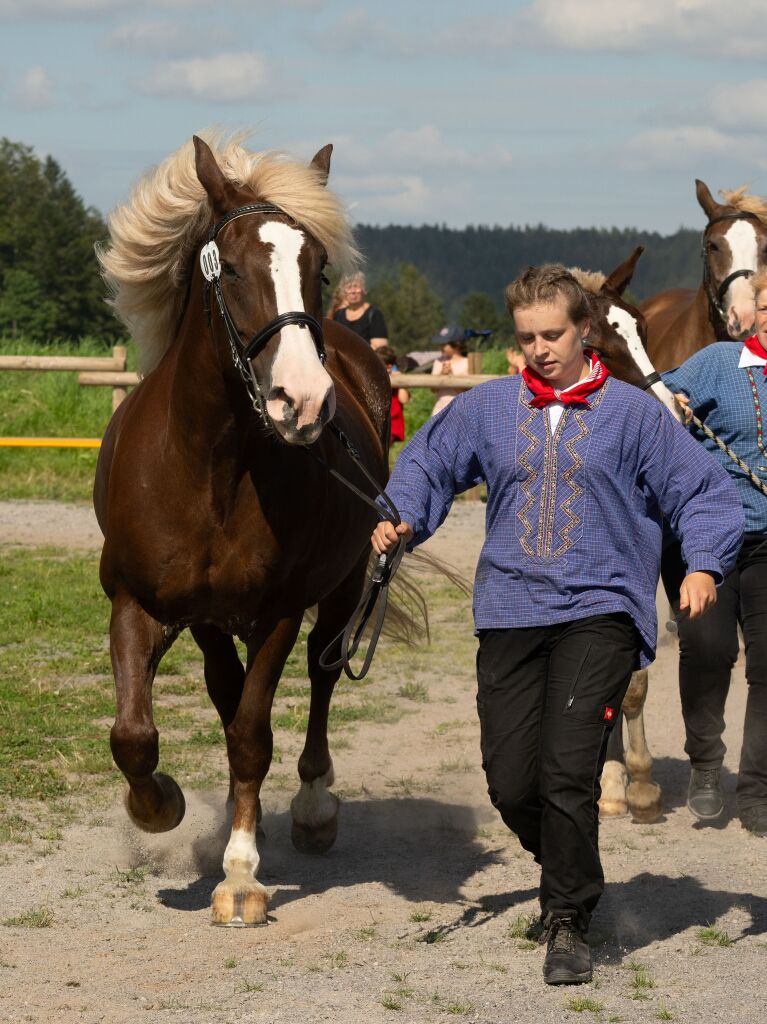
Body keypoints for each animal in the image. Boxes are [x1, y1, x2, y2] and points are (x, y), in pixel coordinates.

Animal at [95, 132, 407, 925]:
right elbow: (135, 735)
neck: (210, 466)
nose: (304, 401)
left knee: (318, 685)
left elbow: (249, 735)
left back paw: (311, 809)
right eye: (230, 267)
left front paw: (239, 876)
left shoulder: (278, 614)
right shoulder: (139, 603)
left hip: (344, 587)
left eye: (317, 268)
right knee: (221, 688)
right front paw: (160, 807)